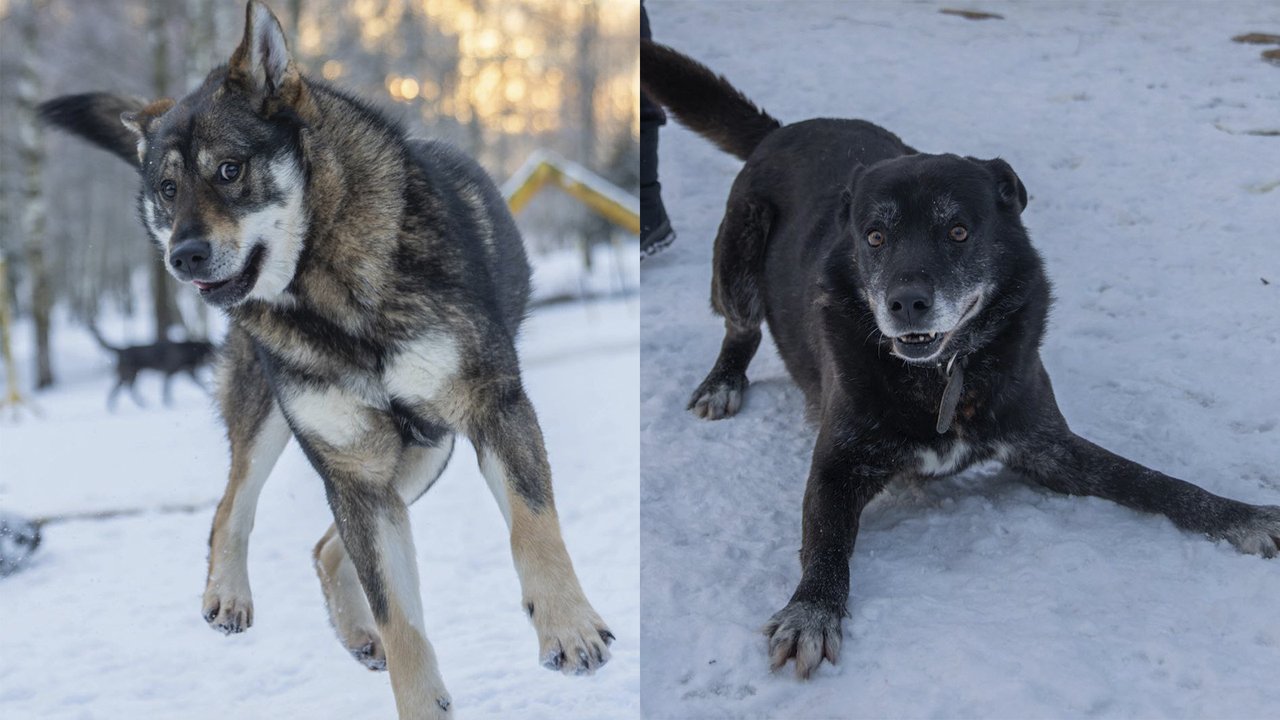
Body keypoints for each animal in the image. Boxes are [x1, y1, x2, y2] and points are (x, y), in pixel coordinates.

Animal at [640, 41, 1280, 676]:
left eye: (958, 231)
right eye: (874, 237)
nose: (905, 303)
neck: (942, 374)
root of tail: (782, 129)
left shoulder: (1051, 448)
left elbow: (1154, 481)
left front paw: (1243, 516)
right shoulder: (837, 465)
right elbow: (824, 545)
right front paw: (811, 613)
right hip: (740, 252)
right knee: (740, 328)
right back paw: (722, 382)